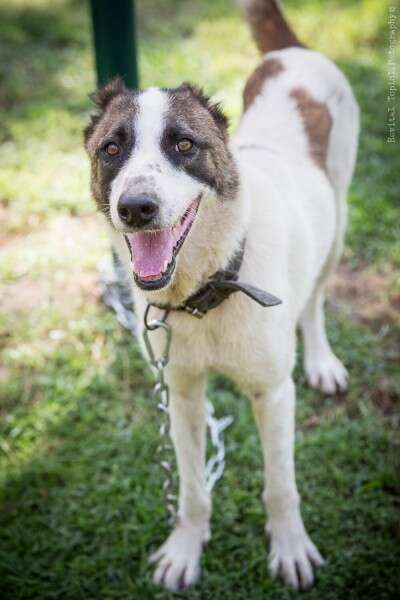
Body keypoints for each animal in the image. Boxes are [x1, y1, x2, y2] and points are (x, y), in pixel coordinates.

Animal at [84, 0, 359, 591]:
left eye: (184, 145)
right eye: (112, 149)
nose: (135, 208)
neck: (206, 289)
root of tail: (292, 50)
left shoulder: (274, 395)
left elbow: (281, 486)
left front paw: (291, 547)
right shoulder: (182, 393)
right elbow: (190, 490)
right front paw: (185, 548)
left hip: (339, 220)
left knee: (316, 299)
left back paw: (322, 360)